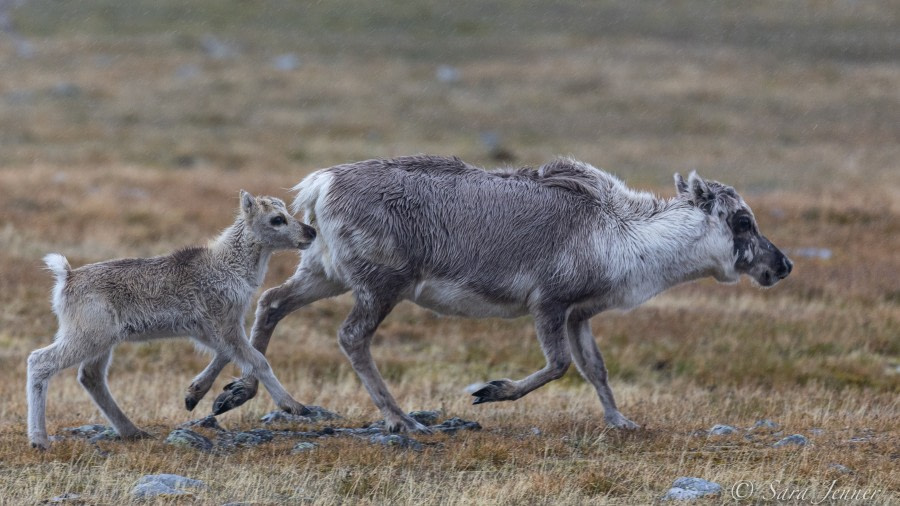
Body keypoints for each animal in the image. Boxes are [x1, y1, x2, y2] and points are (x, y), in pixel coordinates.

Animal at [27, 192, 316, 448]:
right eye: (277, 219)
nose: (311, 232)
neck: (230, 263)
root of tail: (67, 278)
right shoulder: (224, 325)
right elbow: (258, 360)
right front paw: (294, 406)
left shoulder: (209, 331)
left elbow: (230, 355)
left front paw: (195, 394)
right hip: (88, 336)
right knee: (40, 361)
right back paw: (39, 440)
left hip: (102, 342)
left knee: (91, 376)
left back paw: (133, 432)